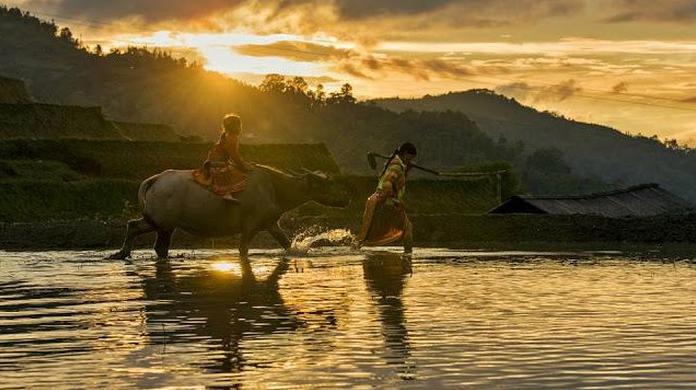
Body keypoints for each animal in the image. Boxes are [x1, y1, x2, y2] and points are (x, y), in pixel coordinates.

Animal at [109, 165, 350, 268]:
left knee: (142, 233)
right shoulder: (250, 226)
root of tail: (156, 179)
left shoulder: (271, 223)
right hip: (163, 223)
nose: (346, 199)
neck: (275, 188)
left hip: (162, 225)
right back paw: (123, 253)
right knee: (140, 231)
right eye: (326, 185)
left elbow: (287, 244)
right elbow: (243, 249)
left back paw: (123, 254)